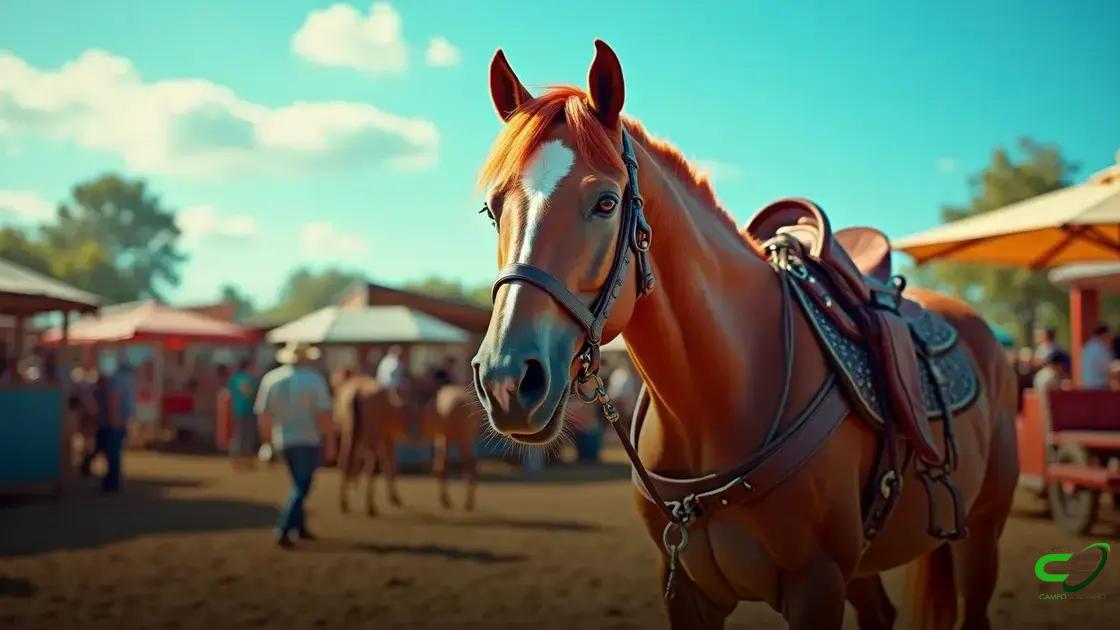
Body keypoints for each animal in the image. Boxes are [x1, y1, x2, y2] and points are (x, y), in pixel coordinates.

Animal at [469, 41, 1019, 630]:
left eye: (606, 203)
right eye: (493, 209)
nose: (506, 379)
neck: (720, 398)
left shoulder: (816, 586)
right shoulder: (687, 592)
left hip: (981, 534)